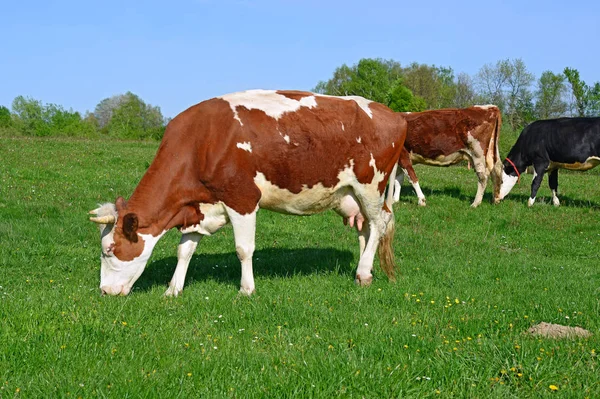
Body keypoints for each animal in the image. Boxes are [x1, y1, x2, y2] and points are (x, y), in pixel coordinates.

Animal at [90, 90, 408, 296]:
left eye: (110, 250)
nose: (104, 291)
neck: (202, 143)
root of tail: (394, 115)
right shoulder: (199, 206)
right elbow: (185, 250)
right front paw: (173, 289)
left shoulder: (241, 200)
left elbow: (244, 249)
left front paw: (246, 289)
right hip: (352, 194)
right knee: (366, 229)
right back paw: (363, 268)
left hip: (371, 186)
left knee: (379, 224)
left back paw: (363, 273)